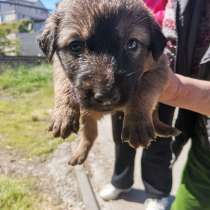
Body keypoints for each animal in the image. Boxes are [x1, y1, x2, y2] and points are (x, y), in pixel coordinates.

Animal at [38, 0, 180, 166]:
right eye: (75, 46)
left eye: (132, 44)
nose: (106, 97)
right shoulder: (58, 64)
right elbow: (64, 82)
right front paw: (64, 113)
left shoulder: (159, 67)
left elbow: (144, 89)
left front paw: (137, 123)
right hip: (87, 114)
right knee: (90, 135)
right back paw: (79, 154)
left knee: (154, 115)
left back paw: (164, 129)